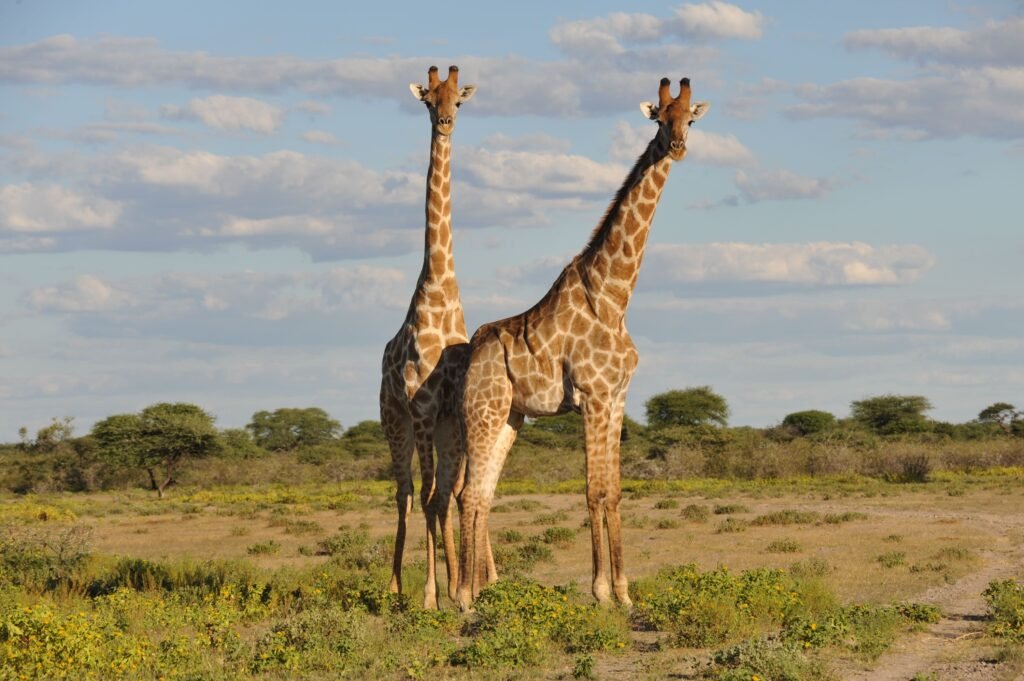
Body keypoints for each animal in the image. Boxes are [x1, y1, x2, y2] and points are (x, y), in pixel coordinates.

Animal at [454, 77, 709, 610]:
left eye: (690, 120)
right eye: (660, 119)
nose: (677, 147)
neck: (613, 295)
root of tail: (471, 353)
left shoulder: (617, 397)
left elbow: (614, 490)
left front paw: (625, 592)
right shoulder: (592, 395)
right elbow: (593, 490)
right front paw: (600, 591)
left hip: (510, 418)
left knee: (483, 493)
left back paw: (482, 593)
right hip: (483, 411)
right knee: (467, 493)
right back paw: (464, 597)